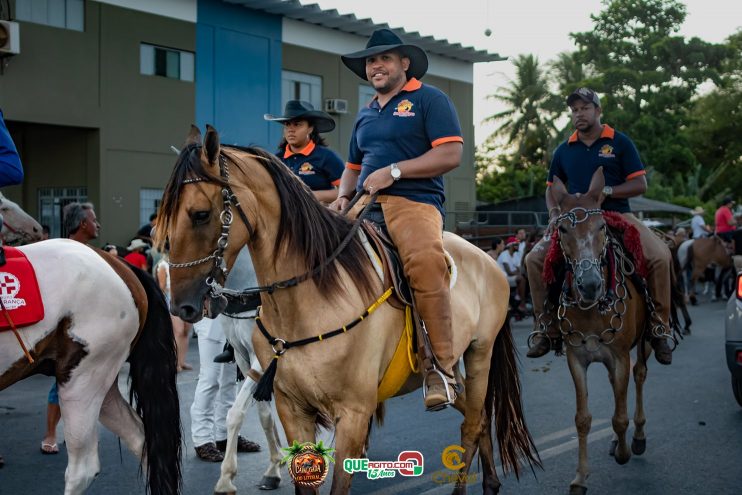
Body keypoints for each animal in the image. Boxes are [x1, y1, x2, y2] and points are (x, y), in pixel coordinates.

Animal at [157, 127, 540, 495]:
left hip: (479, 354)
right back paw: (490, 481)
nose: (180, 304)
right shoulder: (287, 403)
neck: (310, 298)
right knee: (479, 418)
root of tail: (487, 258)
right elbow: (259, 425)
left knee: (472, 423)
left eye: (200, 214)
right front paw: (254, 472)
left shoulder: (352, 411)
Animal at [544, 169, 676, 494]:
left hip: (644, 341)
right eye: (562, 228)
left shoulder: (619, 357)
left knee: (638, 376)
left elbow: (619, 416)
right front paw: (580, 477)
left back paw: (637, 437)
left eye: (602, 226)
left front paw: (625, 451)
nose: (590, 284)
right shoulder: (577, 359)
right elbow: (583, 418)